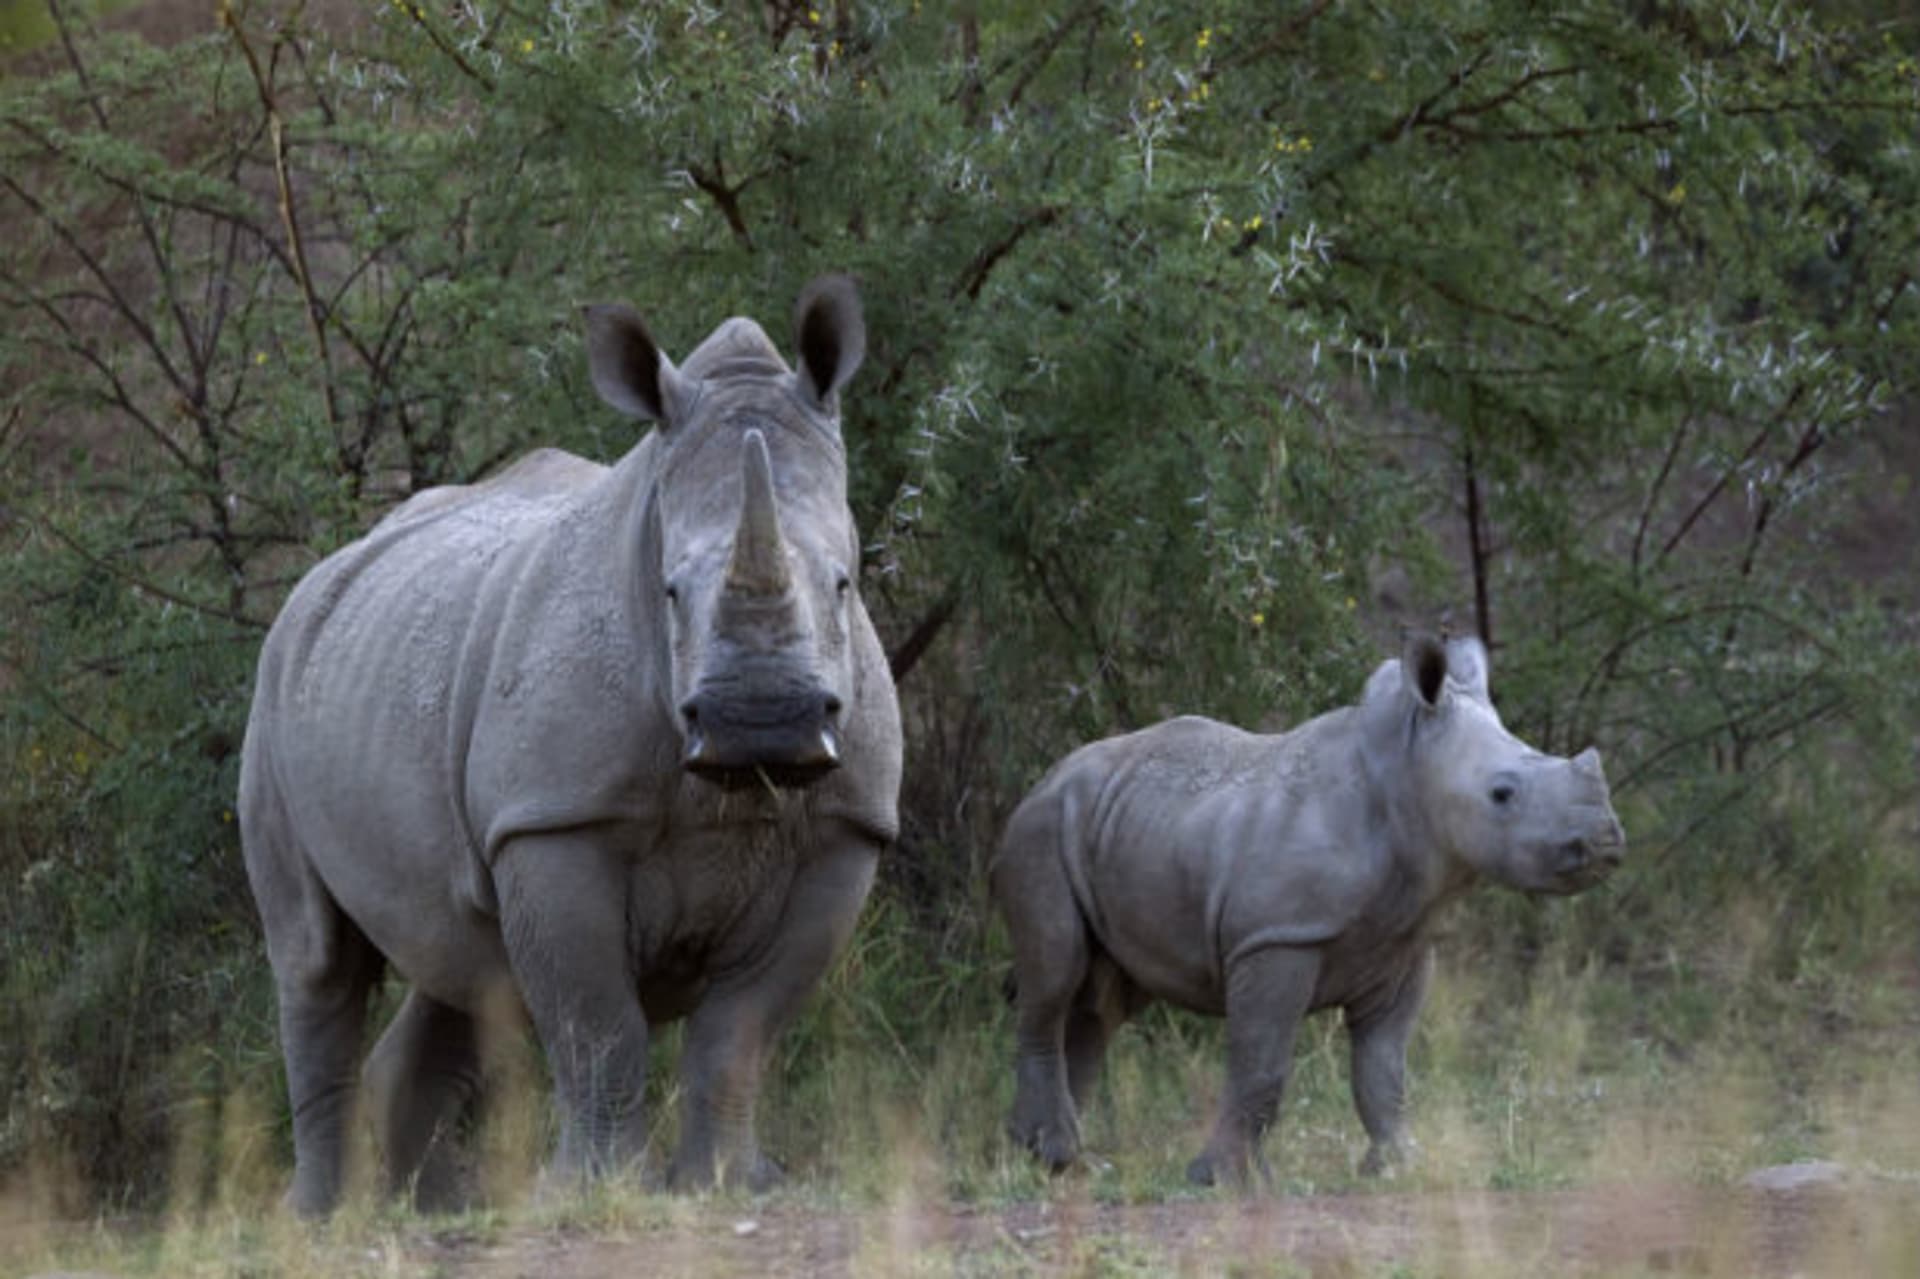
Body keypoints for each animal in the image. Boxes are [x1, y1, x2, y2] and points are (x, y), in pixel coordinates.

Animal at [238, 276, 901, 1216]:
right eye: (668, 591)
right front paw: (591, 1191)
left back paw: (436, 1208)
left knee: (463, 958)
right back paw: (323, 1216)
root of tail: (325, 573)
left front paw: (729, 1183)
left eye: (844, 584)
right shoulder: (553, 820)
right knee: (317, 956)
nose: (760, 720)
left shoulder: (845, 832)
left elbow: (739, 1030)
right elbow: (597, 1019)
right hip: (274, 685)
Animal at [992, 635, 1623, 1186]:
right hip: (1040, 830)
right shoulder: (1278, 938)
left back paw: (1061, 1163)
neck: (1405, 773)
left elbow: (1384, 1068)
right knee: (1057, 974)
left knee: (1102, 1001)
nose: (1605, 843)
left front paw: (1398, 1167)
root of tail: (1047, 778)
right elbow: (1263, 1063)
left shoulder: (1404, 944)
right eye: (1501, 794)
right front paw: (1224, 1181)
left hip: (1113, 825)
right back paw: (1055, 1155)